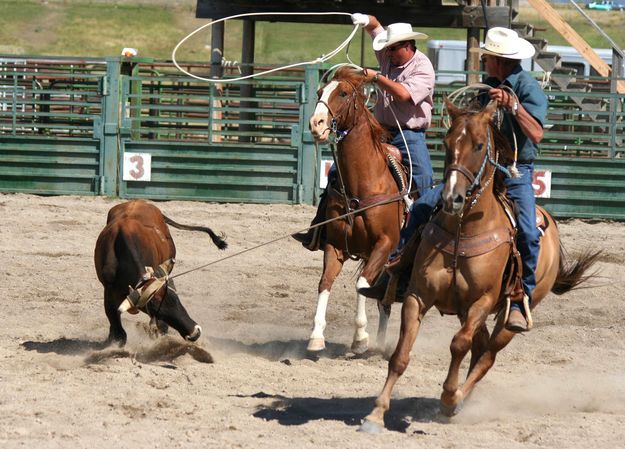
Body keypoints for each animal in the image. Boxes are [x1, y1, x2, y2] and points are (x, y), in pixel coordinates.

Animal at [304, 66, 408, 354]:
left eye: (343, 93)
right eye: (320, 92)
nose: (316, 124)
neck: (362, 187)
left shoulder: (384, 244)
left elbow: (362, 285)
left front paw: (361, 337)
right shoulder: (335, 244)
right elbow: (325, 283)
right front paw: (316, 335)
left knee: (383, 296)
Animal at [360, 100, 600, 430]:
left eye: (478, 145)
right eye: (447, 142)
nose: (452, 198)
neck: (463, 231)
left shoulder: (482, 302)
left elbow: (459, 344)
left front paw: (449, 397)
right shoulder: (417, 296)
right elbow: (400, 355)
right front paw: (377, 412)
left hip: (511, 315)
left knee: (488, 354)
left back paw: (458, 399)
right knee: (480, 346)